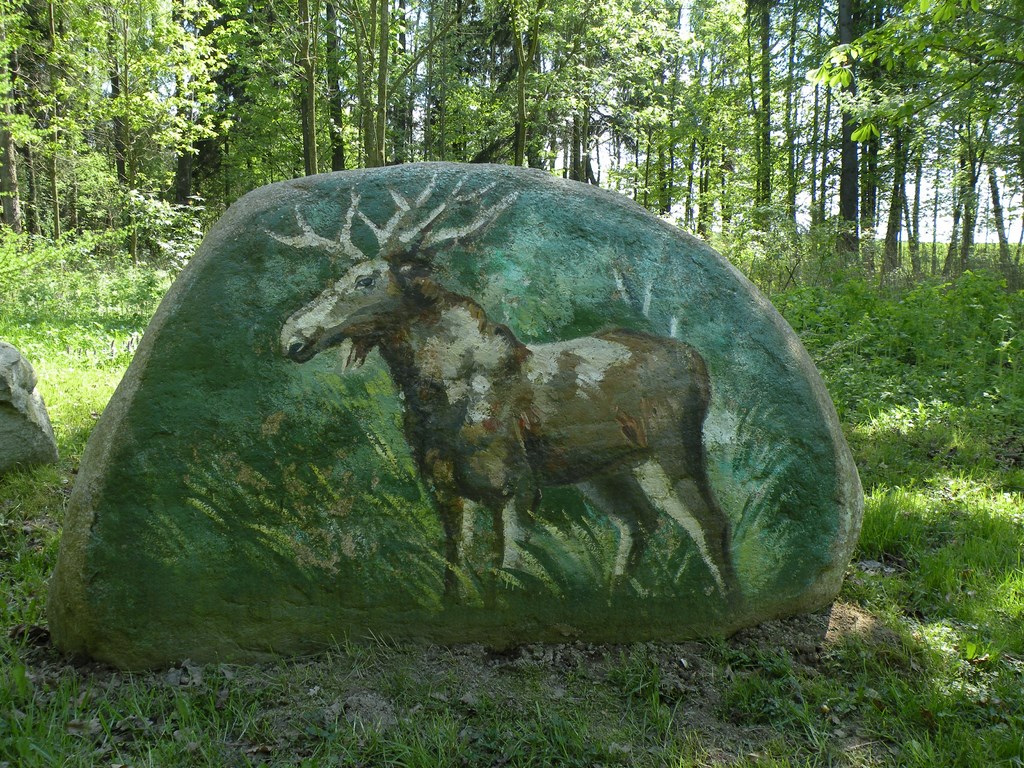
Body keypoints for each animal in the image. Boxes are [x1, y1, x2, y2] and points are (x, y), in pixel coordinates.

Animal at [272, 172, 739, 605]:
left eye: (366, 281)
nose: (291, 335)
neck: (437, 399)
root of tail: (699, 363)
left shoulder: (517, 486)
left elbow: (509, 576)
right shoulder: (445, 488)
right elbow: (455, 573)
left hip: (670, 453)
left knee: (710, 522)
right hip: (604, 471)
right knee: (640, 523)